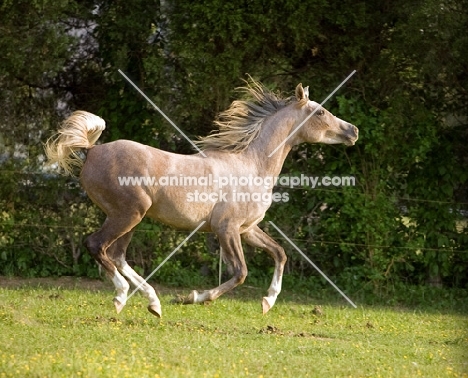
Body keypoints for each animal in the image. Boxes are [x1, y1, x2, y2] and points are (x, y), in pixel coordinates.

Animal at [44, 79, 358, 316]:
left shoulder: (247, 229)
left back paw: (154, 304)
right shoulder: (225, 228)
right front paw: (194, 297)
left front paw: (268, 302)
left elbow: (279, 253)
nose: (353, 131)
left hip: (130, 218)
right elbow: (240, 272)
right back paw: (122, 297)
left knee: (118, 255)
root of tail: (91, 150)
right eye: (320, 113)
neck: (252, 164)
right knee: (97, 245)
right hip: (128, 214)